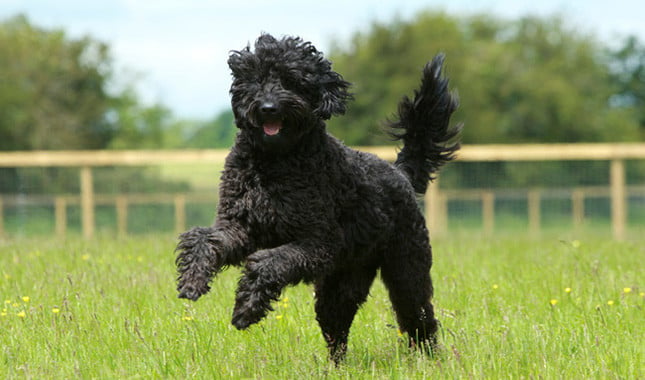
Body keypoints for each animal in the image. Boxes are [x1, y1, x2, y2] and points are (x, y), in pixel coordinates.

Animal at [175, 35, 458, 362]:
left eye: (292, 80)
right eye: (255, 79)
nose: (269, 108)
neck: (274, 163)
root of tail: (400, 172)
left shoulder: (320, 243)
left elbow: (268, 262)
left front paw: (246, 308)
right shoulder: (238, 226)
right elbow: (203, 238)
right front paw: (192, 280)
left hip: (406, 268)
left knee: (419, 316)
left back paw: (429, 358)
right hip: (343, 284)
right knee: (338, 333)